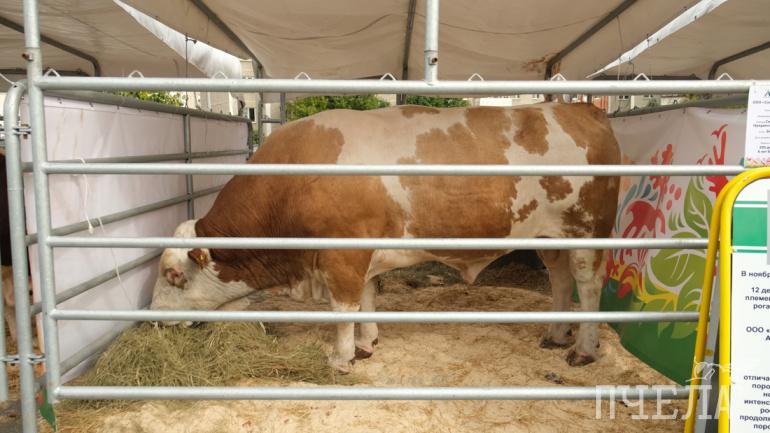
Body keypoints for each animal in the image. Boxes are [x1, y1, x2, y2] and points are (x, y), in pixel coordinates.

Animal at [150, 102, 620, 373]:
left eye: (174, 275)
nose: (152, 320)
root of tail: (581, 106)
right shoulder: (364, 255)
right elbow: (367, 300)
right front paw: (366, 343)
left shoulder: (341, 258)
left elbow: (343, 309)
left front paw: (340, 359)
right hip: (550, 236)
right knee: (560, 281)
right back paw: (556, 333)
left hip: (587, 230)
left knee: (587, 284)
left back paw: (583, 349)